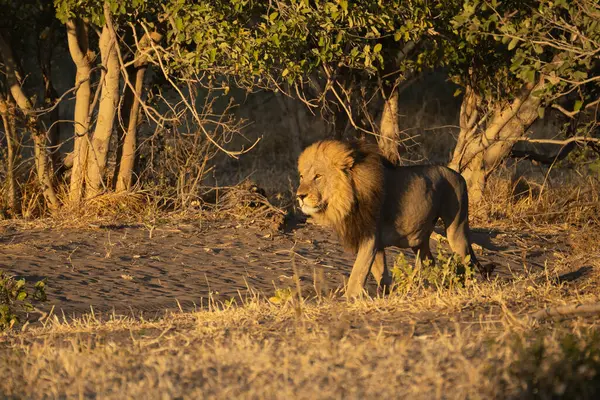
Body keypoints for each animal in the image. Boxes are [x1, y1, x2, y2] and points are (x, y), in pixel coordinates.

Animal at [296, 140, 492, 296]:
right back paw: (430, 286)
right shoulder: (373, 241)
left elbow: (357, 273)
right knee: (429, 261)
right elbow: (380, 273)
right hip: (419, 238)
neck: (348, 197)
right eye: (302, 176)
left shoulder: (370, 237)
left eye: (318, 176)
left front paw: (349, 300)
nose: (300, 196)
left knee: (466, 260)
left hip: (456, 228)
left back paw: (465, 287)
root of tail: (459, 175)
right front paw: (385, 295)